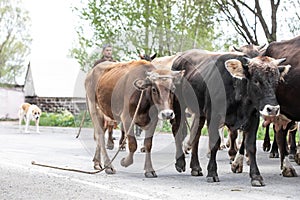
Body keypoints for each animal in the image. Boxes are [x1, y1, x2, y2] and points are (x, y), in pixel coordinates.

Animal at [171, 49, 290, 187]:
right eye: (256, 80)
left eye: (276, 82)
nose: (273, 109)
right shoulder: (214, 116)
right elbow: (214, 143)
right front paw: (212, 173)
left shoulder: (253, 118)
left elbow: (251, 146)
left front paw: (256, 176)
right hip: (178, 104)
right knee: (177, 130)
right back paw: (180, 163)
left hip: (199, 112)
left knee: (196, 135)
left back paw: (195, 167)